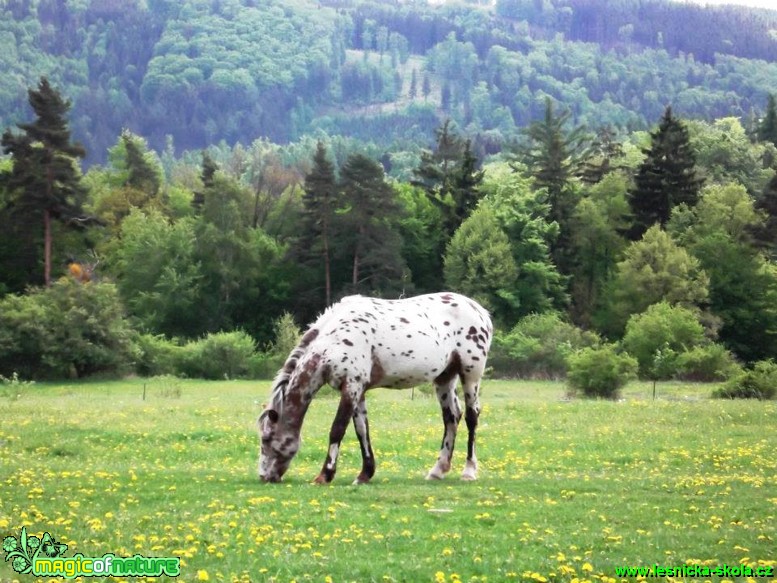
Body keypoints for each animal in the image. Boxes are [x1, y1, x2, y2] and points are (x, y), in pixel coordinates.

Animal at [260, 290, 492, 484]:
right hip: (445, 378)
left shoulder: (351, 386)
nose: (264, 476)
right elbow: (362, 430)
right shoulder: (358, 390)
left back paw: (469, 471)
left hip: (470, 375)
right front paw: (364, 474)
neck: (333, 338)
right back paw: (437, 470)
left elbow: (337, 429)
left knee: (471, 417)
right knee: (451, 417)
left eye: (266, 438)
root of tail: (480, 311)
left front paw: (325, 475)